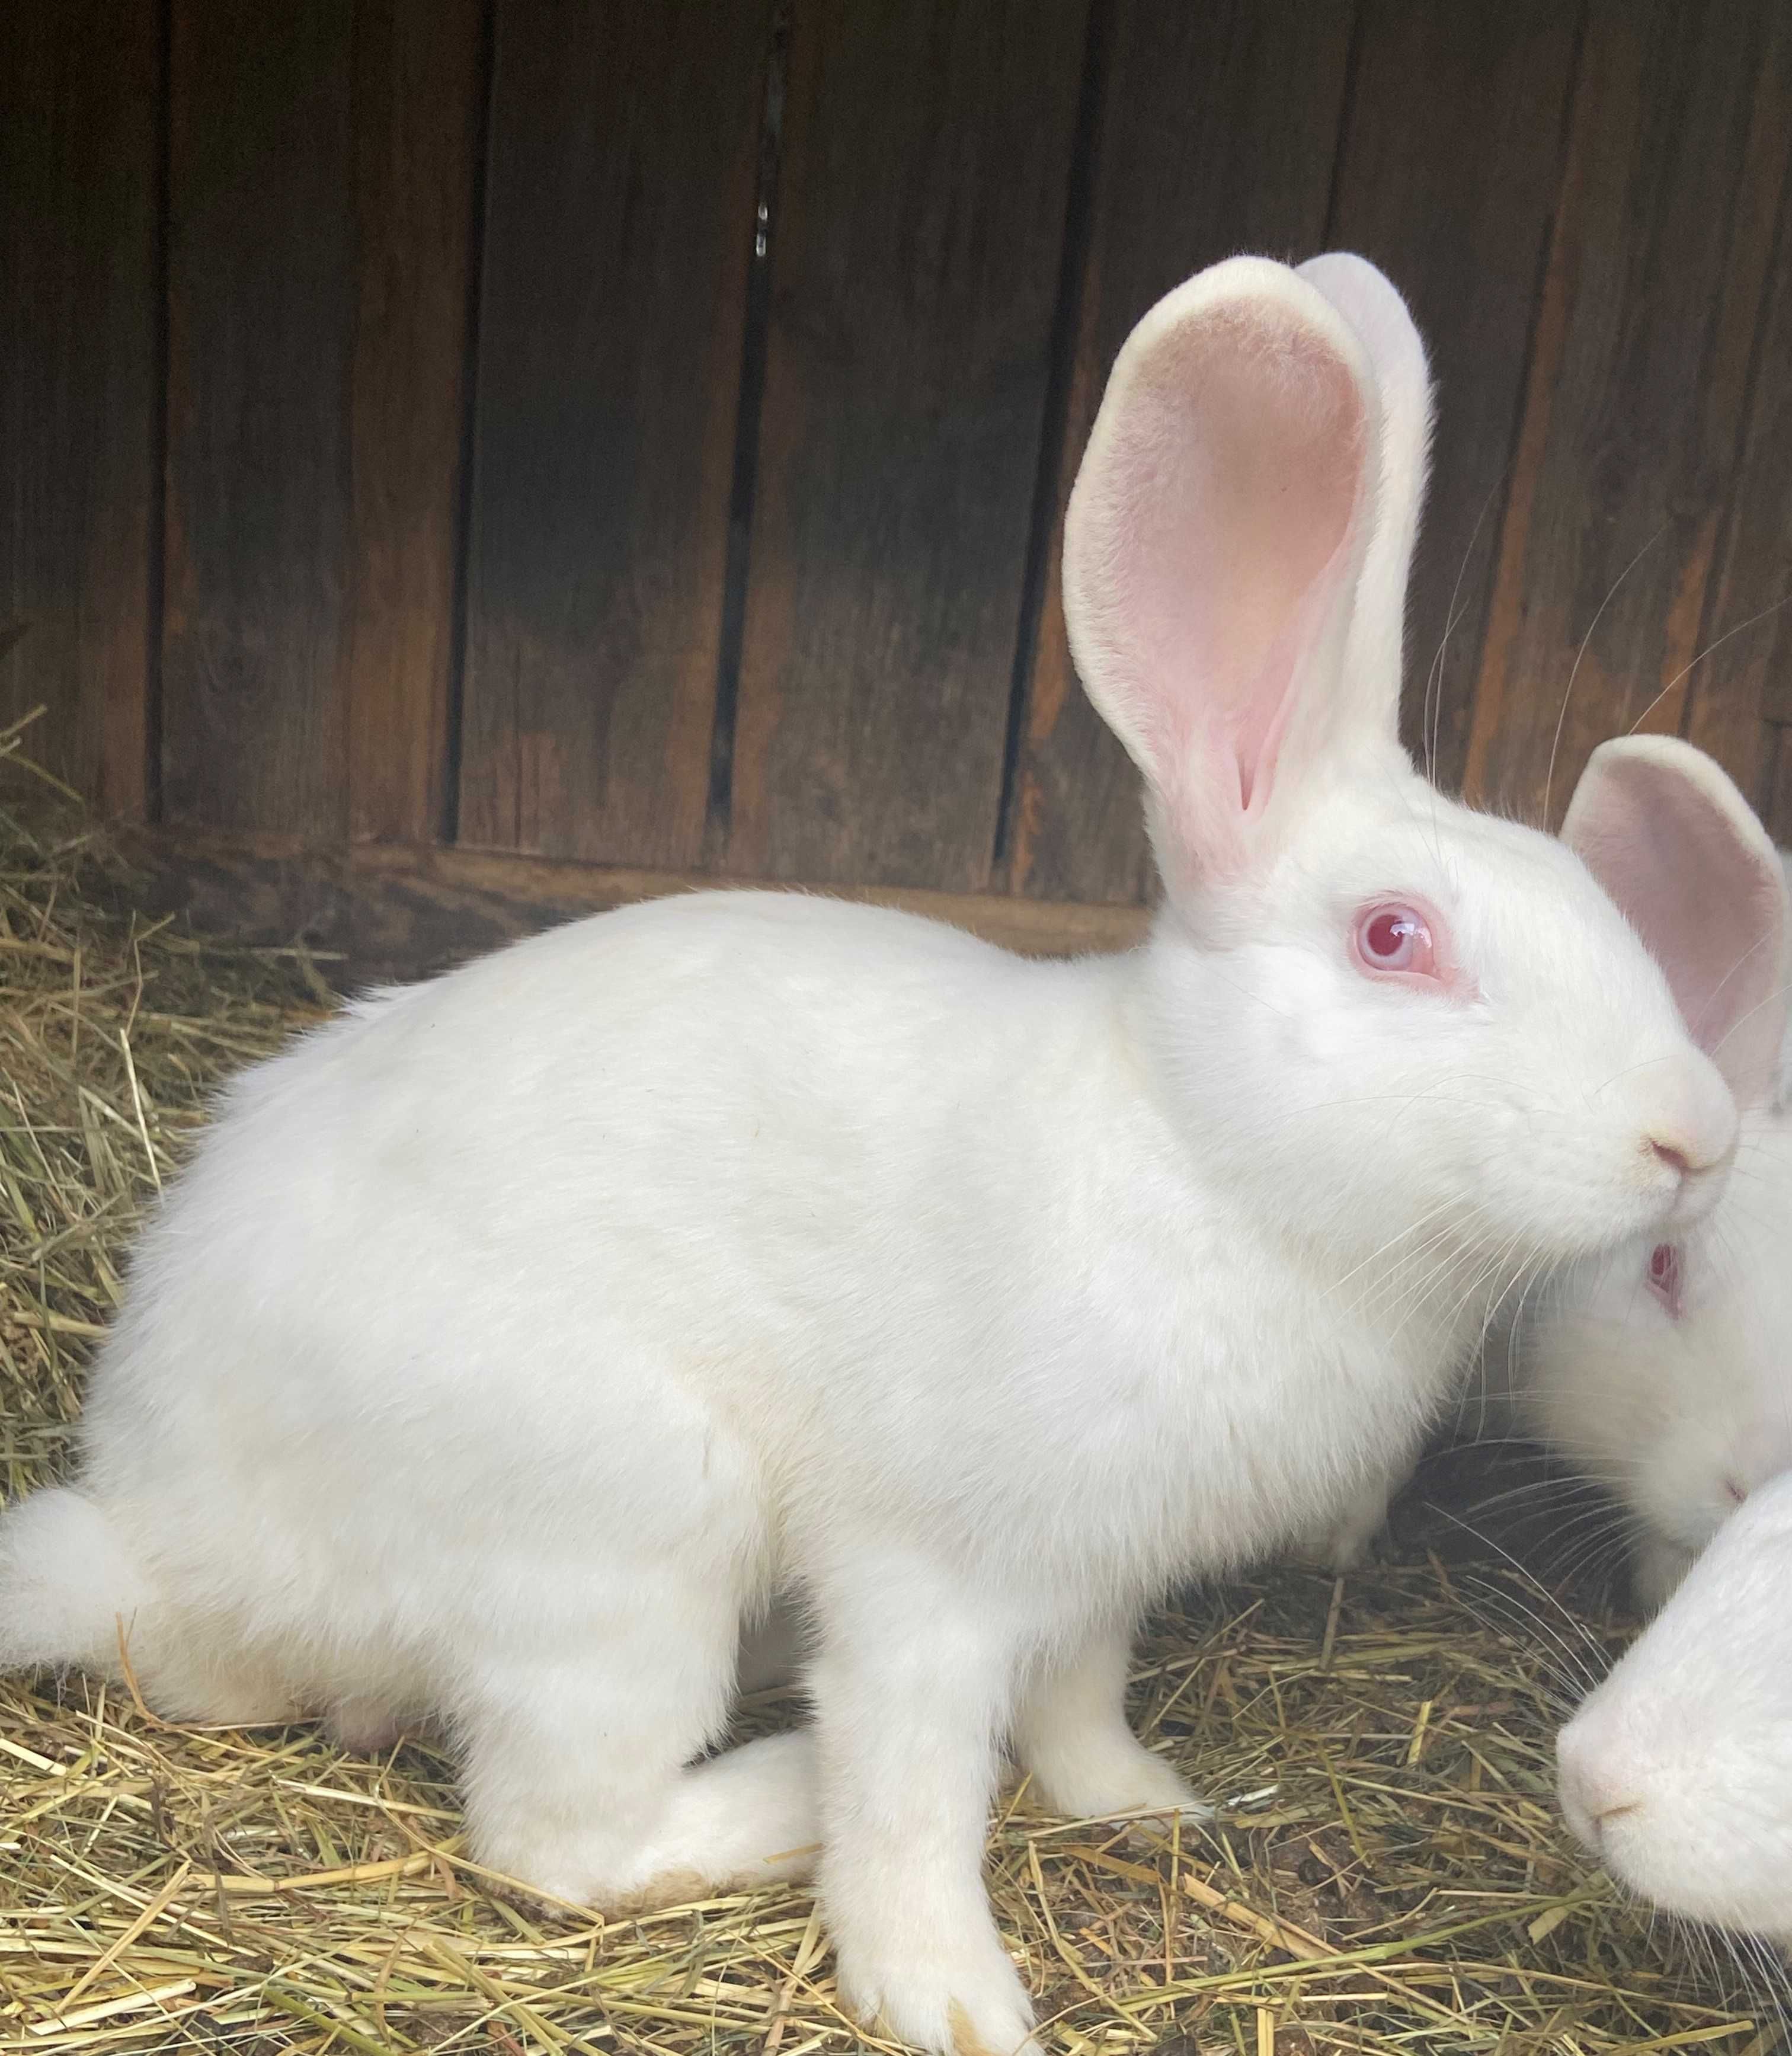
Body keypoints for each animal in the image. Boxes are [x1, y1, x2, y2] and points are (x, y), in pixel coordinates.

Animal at [0, 261, 1767, 2056]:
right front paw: (953, 1998)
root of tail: (153, 1528)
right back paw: (781, 1779)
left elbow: (1081, 1700)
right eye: (1394, 938)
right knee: (562, 1839)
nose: (1693, 1133)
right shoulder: (932, 1582)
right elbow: (918, 1790)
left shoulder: (1094, 1581)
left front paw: (1145, 1801)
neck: (1201, 1159)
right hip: (628, 1530)